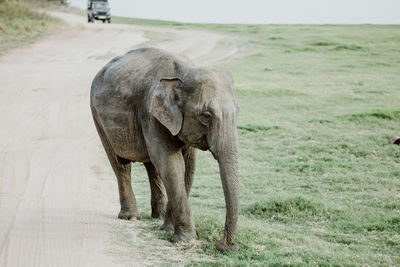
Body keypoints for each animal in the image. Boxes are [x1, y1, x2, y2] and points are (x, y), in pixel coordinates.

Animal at [90, 47, 239, 251]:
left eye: (238, 112)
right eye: (206, 116)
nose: (227, 246)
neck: (184, 74)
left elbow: (187, 167)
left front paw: (167, 229)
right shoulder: (151, 114)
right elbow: (172, 165)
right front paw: (186, 240)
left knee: (152, 166)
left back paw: (157, 216)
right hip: (97, 116)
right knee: (121, 165)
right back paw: (130, 217)